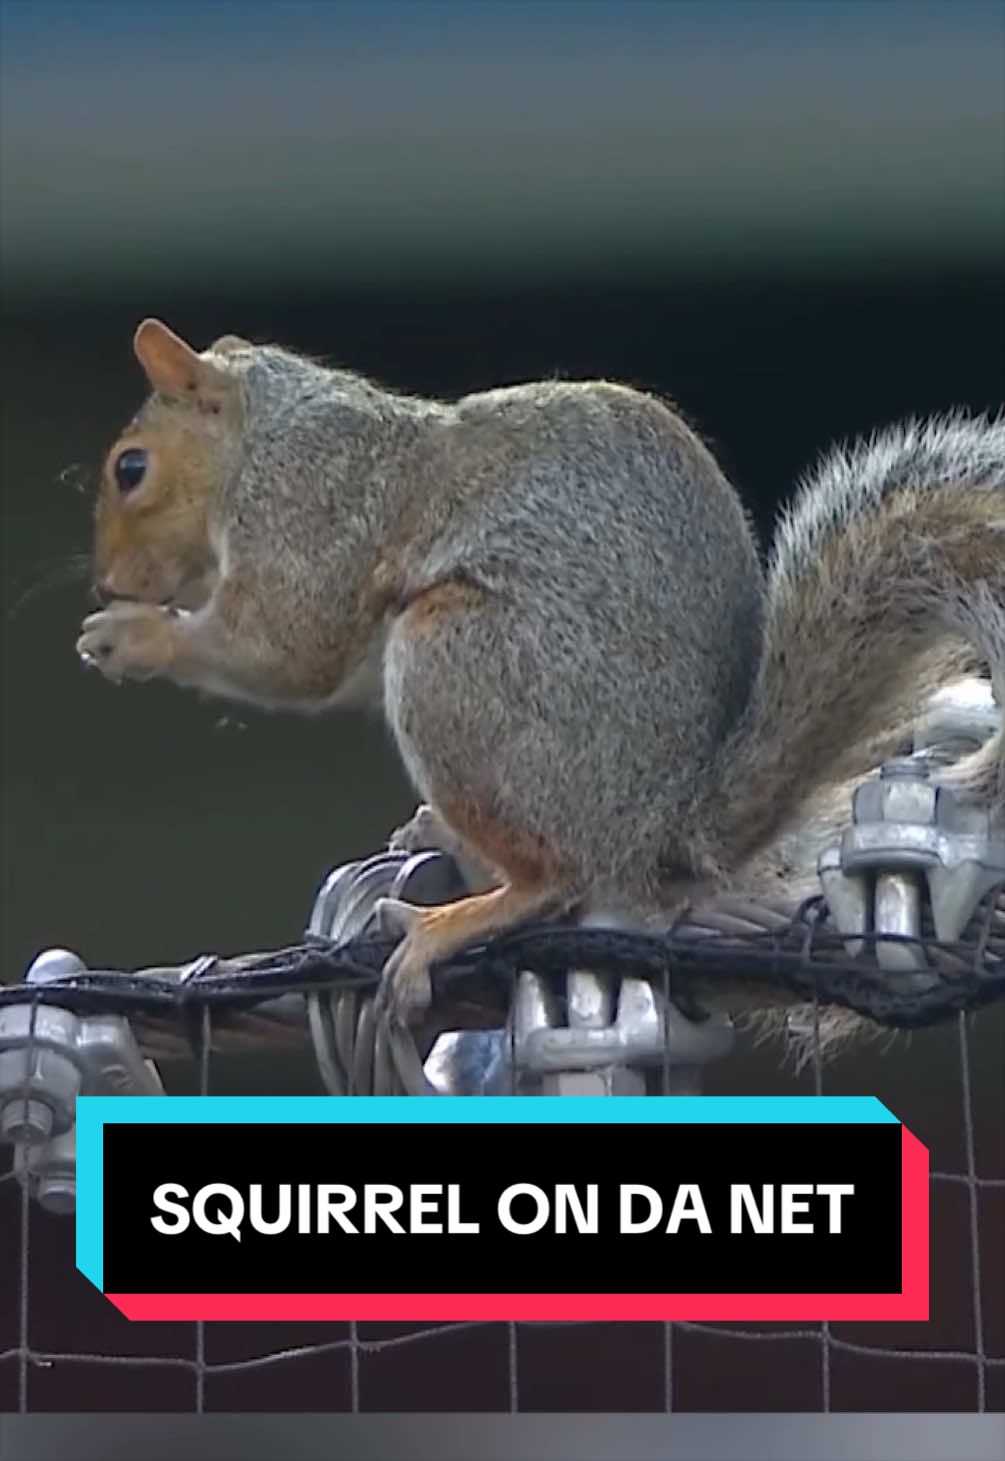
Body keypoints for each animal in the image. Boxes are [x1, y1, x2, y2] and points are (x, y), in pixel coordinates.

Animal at [77, 319, 1004, 1023]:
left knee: (559, 878)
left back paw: (448, 922)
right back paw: (443, 838)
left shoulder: (308, 512)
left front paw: (134, 636)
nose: (111, 580)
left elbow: (285, 646)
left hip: (456, 663)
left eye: (132, 468)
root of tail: (659, 826)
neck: (265, 437)